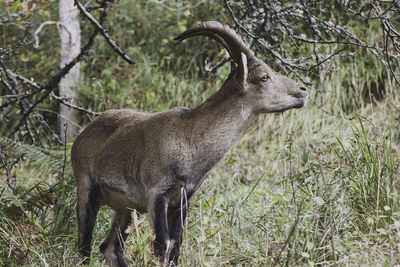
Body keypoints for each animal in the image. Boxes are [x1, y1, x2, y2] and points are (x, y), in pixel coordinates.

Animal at [72, 21, 308, 267]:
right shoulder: (157, 195)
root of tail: (83, 134)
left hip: (125, 208)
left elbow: (176, 242)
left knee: (109, 247)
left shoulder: (182, 200)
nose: (302, 91)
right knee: (84, 246)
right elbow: (162, 243)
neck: (190, 141)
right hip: (87, 190)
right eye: (264, 77)